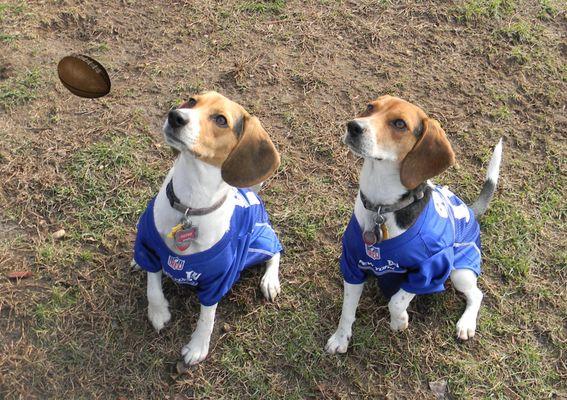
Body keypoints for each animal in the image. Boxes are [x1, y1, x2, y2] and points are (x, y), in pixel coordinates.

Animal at [133, 92, 284, 368]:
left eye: (221, 120)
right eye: (192, 101)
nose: (175, 116)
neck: (190, 205)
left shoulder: (219, 279)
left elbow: (207, 317)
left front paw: (197, 347)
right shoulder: (148, 245)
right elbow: (152, 286)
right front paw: (158, 312)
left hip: (260, 238)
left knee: (276, 251)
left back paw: (270, 281)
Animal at [326, 95, 504, 354]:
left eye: (400, 124)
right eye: (370, 107)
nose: (353, 126)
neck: (382, 207)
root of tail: (470, 210)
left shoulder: (431, 268)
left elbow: (397, 301)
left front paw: (399, 321)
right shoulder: (353, 263)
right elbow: (347, 308)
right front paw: (341, 338)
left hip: (460, 272)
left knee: (477, 294)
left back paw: (466, 323)